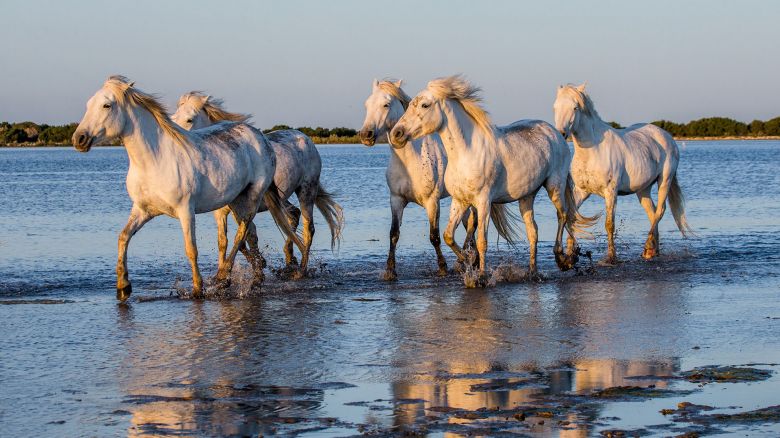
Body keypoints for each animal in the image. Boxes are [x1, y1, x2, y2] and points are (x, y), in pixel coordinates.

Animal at [73, 76, 294, 302]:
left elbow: (191, 249)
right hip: (236, 199)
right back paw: (254, 277)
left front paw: (198, 289)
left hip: (254, 195)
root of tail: (260, 137)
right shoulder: (142, 210)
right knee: (248, 233)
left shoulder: (185, 210)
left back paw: (224, 276)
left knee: (242, 231)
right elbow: (123, 238)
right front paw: (123, 287)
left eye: (107, 105)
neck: (154, 160)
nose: (78, 139)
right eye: (89, 104)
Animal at [174, 92, 344, 278]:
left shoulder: (242, 206)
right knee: (293, 215)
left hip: (307, 190)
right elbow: (226, 242)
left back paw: (301, 270)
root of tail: (306, 139)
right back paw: (289, 260)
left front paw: (256, 266)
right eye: (173, 117)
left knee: (308, 229)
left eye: (189, 119)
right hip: (281, 198)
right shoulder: (221, 212)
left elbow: (246, 237)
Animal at [394, 76, 596, 288]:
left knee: (562, 215)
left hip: (554, 186)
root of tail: (556, 133)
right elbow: (448, 235)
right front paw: (469, 261)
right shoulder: (460, 201)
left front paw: (481, 276)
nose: (396, 134)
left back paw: (563, 260)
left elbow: (482, 240)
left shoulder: (483, 201)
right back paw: (533, 272)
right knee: (533, 231)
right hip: (527, 196)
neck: (466, 153)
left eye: (425, 105)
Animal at [552, 85, 692, 264]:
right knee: (652, 213)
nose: (561, 133)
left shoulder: (610, 191)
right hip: (643, 189)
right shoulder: (582, 191)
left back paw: (648, 248)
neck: (593, 150)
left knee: (660, 210)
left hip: (665, 180)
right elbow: (572, 217)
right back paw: (653, 251)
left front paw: (611, 257)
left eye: (575, 107)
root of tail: (667, 136)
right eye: (555, 107)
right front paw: (570, 255)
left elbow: (609, 224)